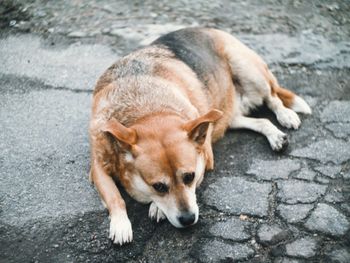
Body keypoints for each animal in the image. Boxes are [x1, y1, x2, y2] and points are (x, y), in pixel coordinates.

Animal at [88, 27, 312, 246]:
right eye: (159, 186)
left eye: (190, 176)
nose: (188, 220)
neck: (147, 109)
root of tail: (212, 29)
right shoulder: (98, 168)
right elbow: (115, 196)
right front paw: (121, 224)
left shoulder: (206, 158)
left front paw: (157, 207)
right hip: (225, 114)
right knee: (260, 120)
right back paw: (275, 135)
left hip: (249, 72)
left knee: (273, 98)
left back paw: (286, 115)